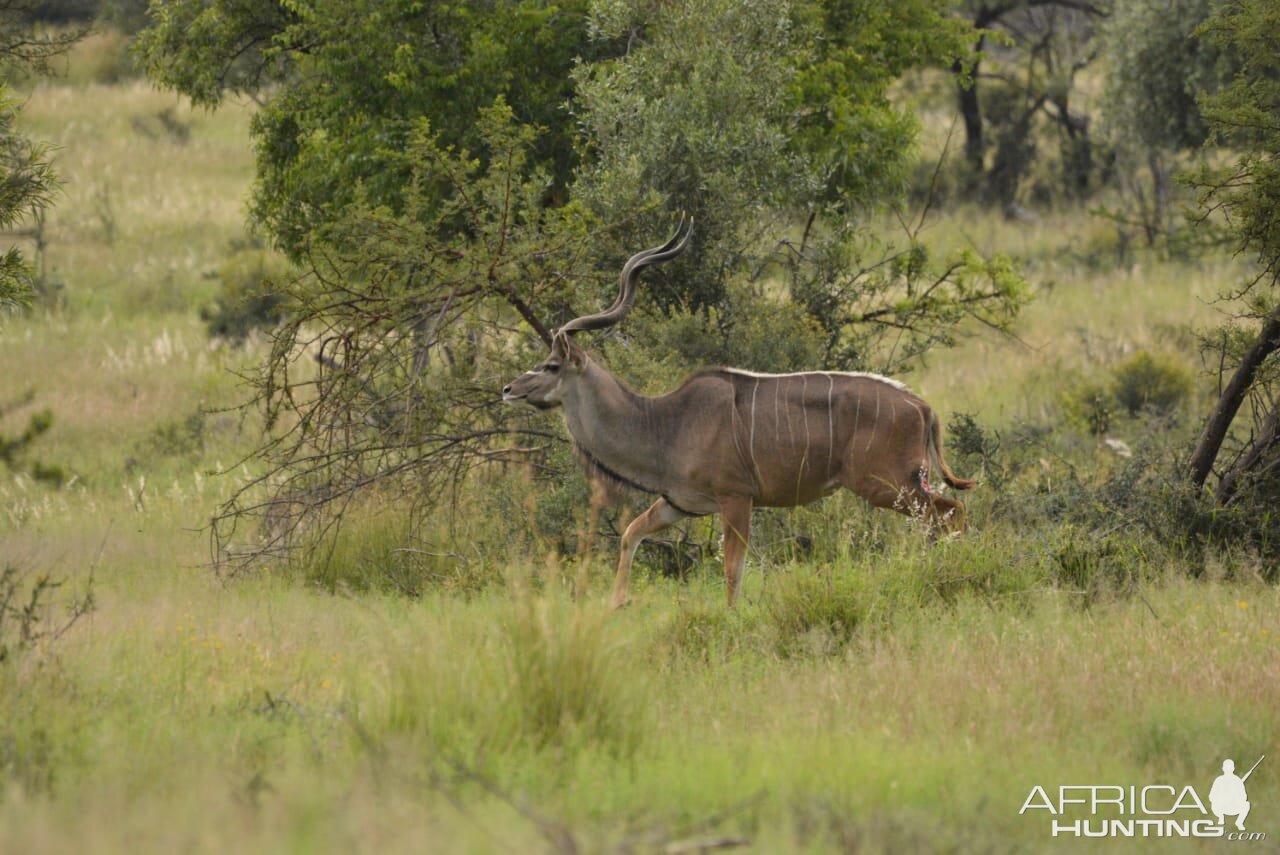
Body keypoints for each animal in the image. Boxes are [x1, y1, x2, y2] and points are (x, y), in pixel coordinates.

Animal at [499, 218, 967, 606]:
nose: (508, 390)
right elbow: (630, 533)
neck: (665, 425)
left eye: (551, 365)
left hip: (887, 485)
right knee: (945, 515)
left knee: (949, 513)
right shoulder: (679, 504)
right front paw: (616, 604)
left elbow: (731, 571)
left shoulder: (737, 498)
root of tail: (923, 407)